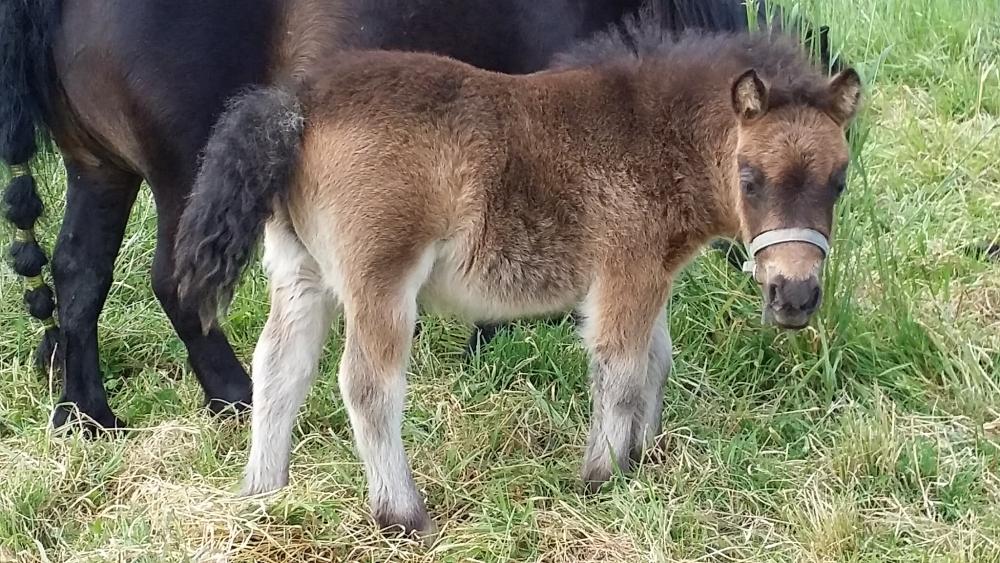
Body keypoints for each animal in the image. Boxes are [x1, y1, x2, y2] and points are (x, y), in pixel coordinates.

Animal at [1, 0, 828, 432]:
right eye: (760, 171)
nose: (794, 295)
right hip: (190, 177)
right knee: (175, 283)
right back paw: (236, 397)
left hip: (100, 171)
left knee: (79, 276)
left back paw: (87, 413)